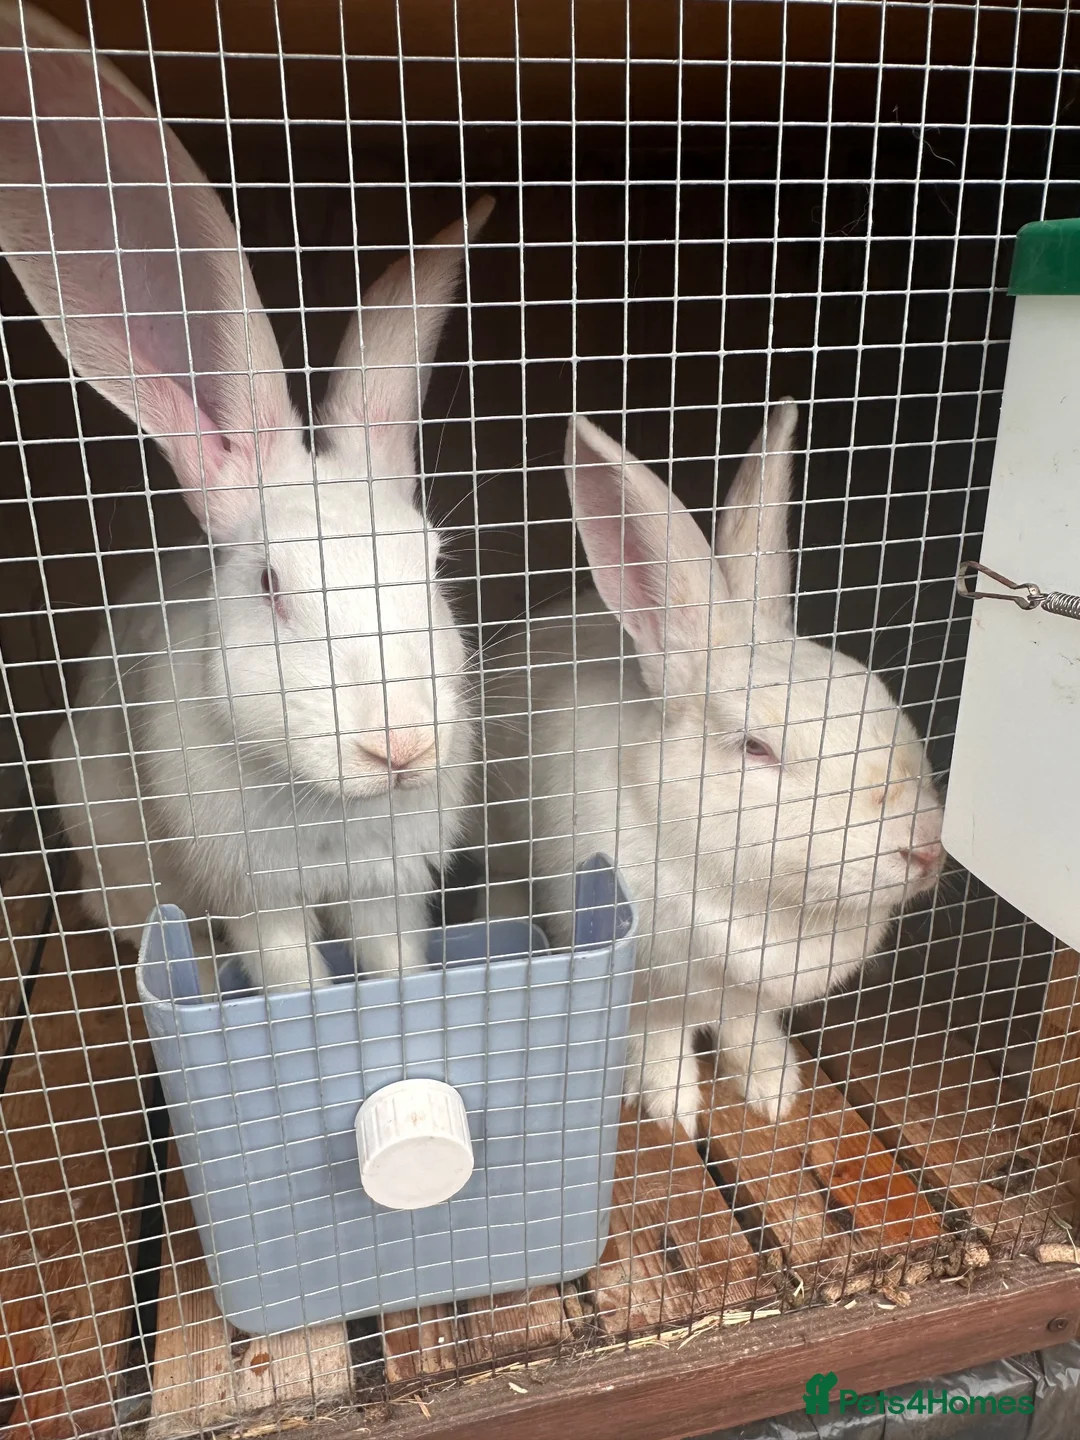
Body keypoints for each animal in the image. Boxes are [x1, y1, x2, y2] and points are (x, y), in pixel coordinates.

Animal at [0, 2, 488, 992]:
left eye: (432, 561)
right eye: (269, 585)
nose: (401, 747)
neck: (326, 800)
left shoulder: (386, 886)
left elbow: (393, 961)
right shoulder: (259, 904)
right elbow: (293, 979)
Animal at [475, 401, 945, 1135]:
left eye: (880, 694)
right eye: (756, 748)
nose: (924, 845)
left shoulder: (747, 996)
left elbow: (748, 1027)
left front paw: (776, 1088)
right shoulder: (649, 986)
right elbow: (659, 1036)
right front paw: (673, 1103)